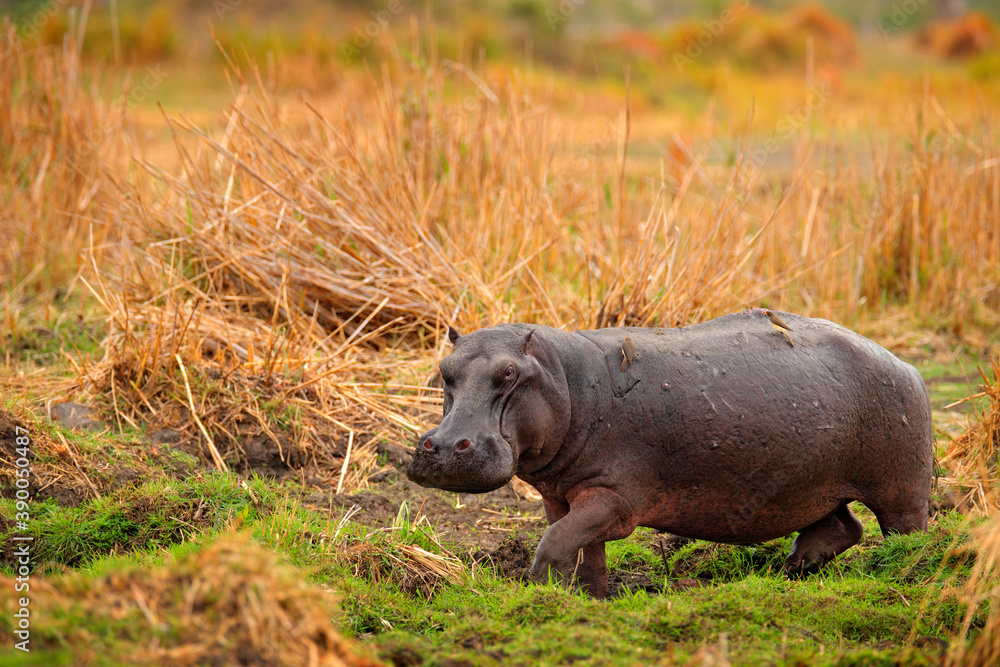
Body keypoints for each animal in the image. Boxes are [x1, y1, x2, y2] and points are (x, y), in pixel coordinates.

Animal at [407, 310, 933, 598]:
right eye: (445, 369)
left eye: (509, 374)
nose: (444, 447)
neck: (564, 379)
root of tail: (904, 363)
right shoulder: (562, 496)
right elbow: (583, 551)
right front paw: (590, 602)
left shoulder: (615, 498)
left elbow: (557, 542)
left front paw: (542, 590)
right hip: (814, 484)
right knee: (844, 524)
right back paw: (796, 566)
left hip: (901, 490)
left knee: (903, 531)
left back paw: (907, 571)